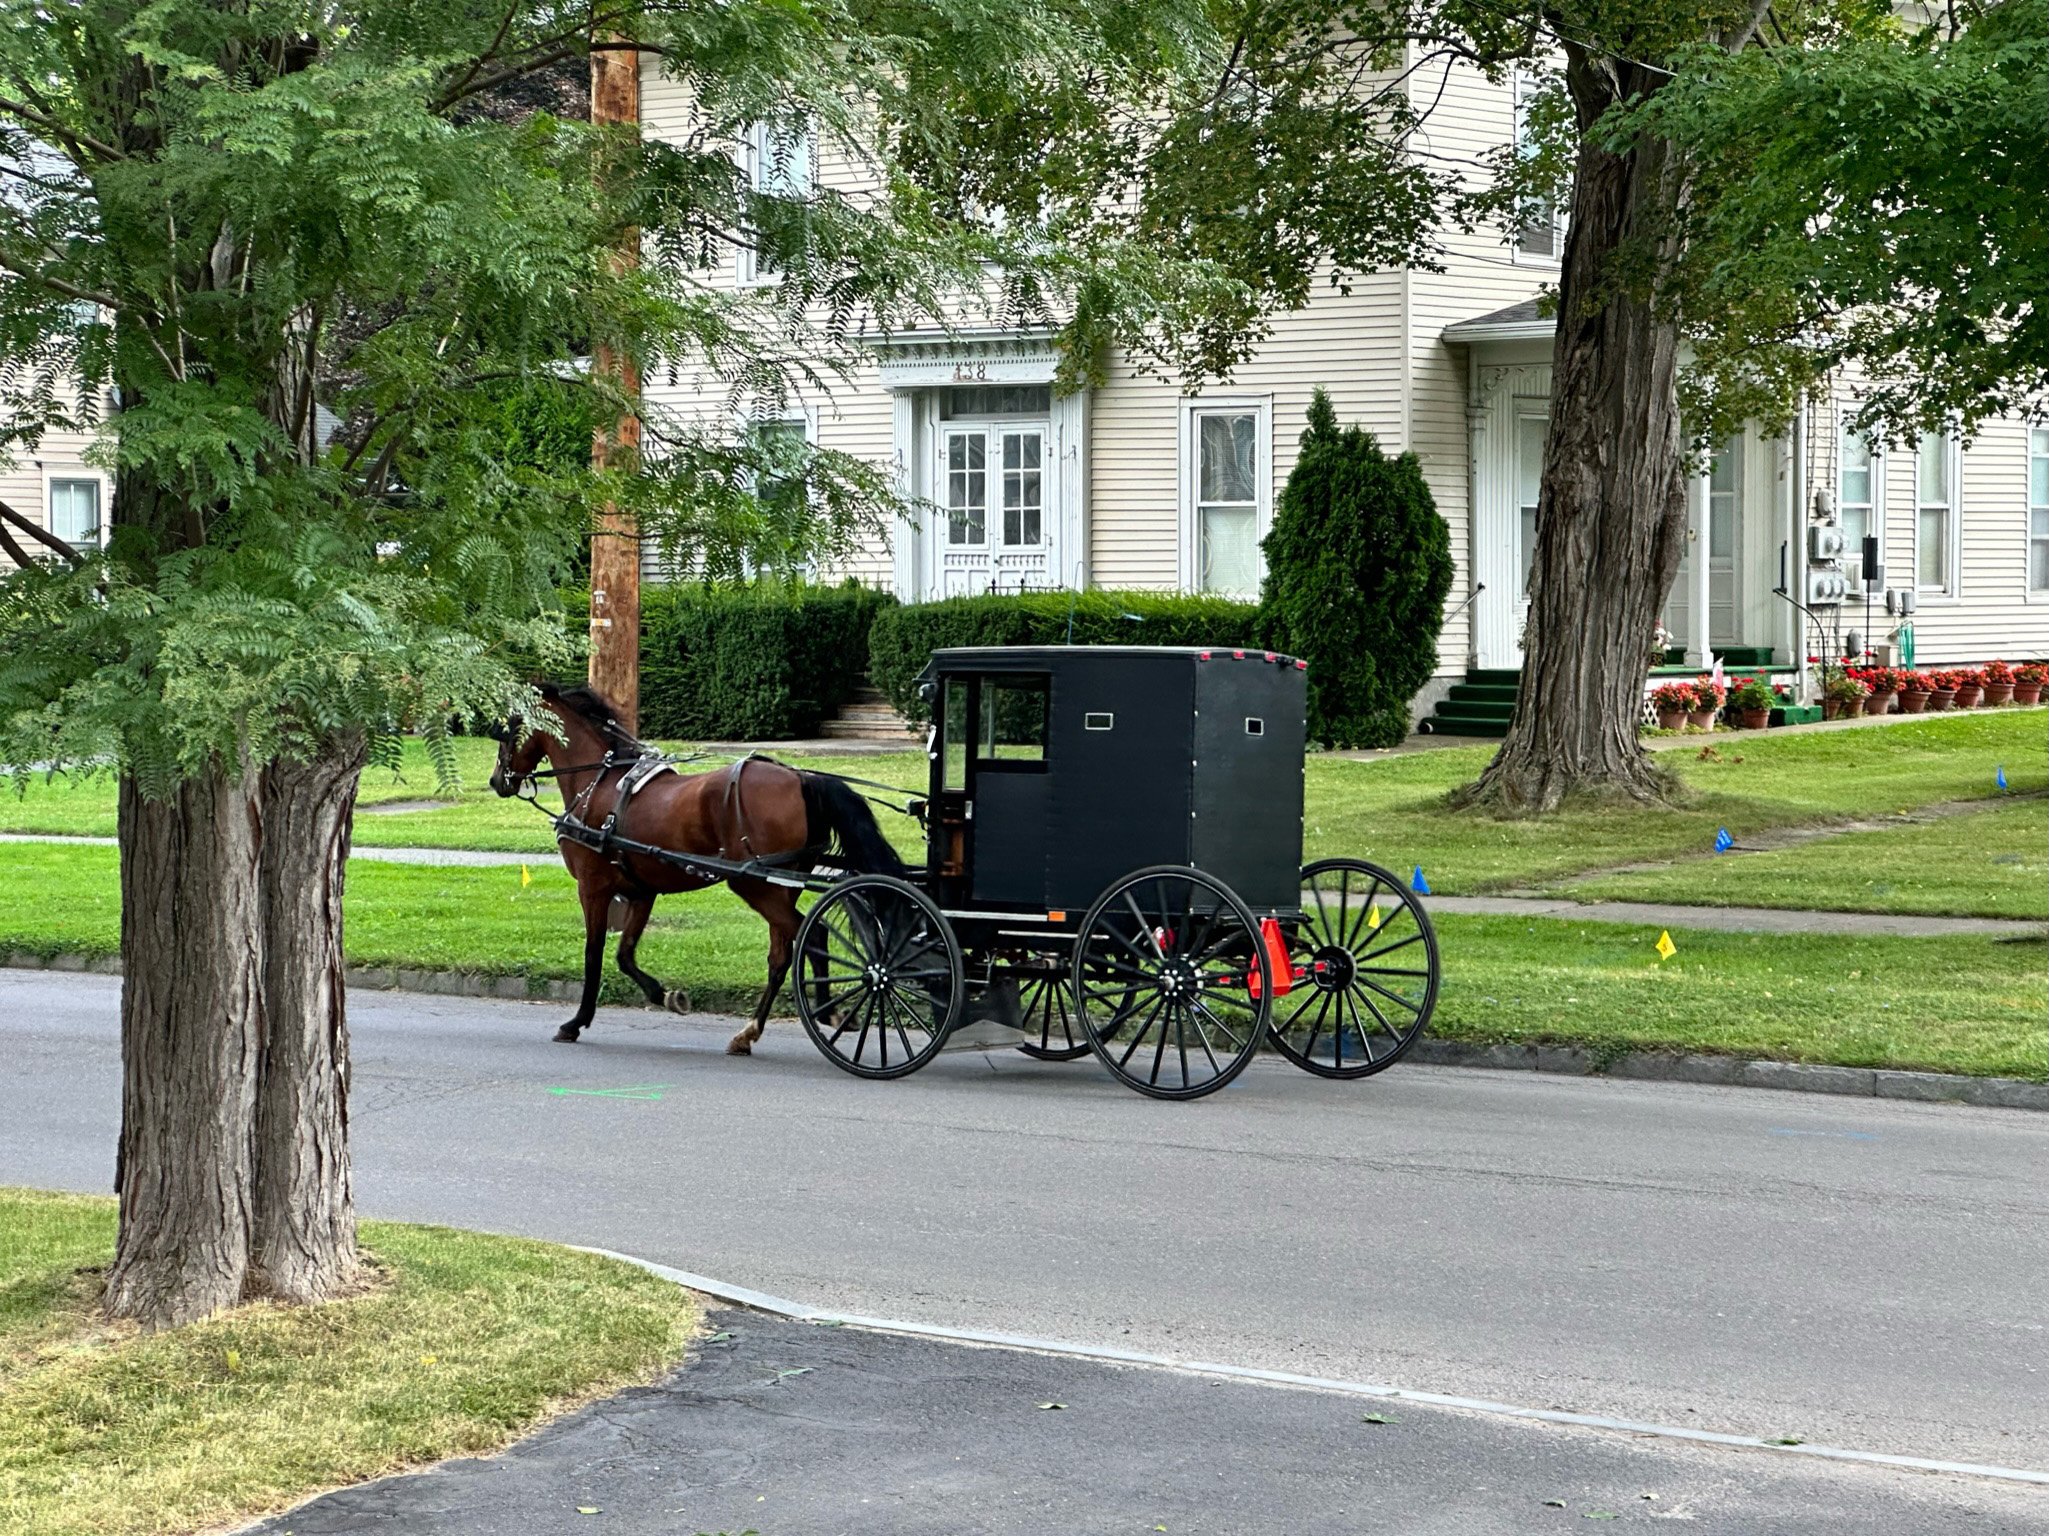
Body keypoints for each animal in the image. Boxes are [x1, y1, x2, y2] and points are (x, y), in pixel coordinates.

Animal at [487, 684, 905, 1056]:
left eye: (510, 727)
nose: (496, 780)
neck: (599, 783)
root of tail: (803, 777)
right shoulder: (641, 891)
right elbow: (625, 954)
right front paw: (666, 995)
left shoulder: (593, 887)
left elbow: (594, 953)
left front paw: (576, 1021)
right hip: (780, 885)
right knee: (782, 954)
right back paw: (750, 1032)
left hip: (755, 886)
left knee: (812, 934)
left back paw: (824, 1009)